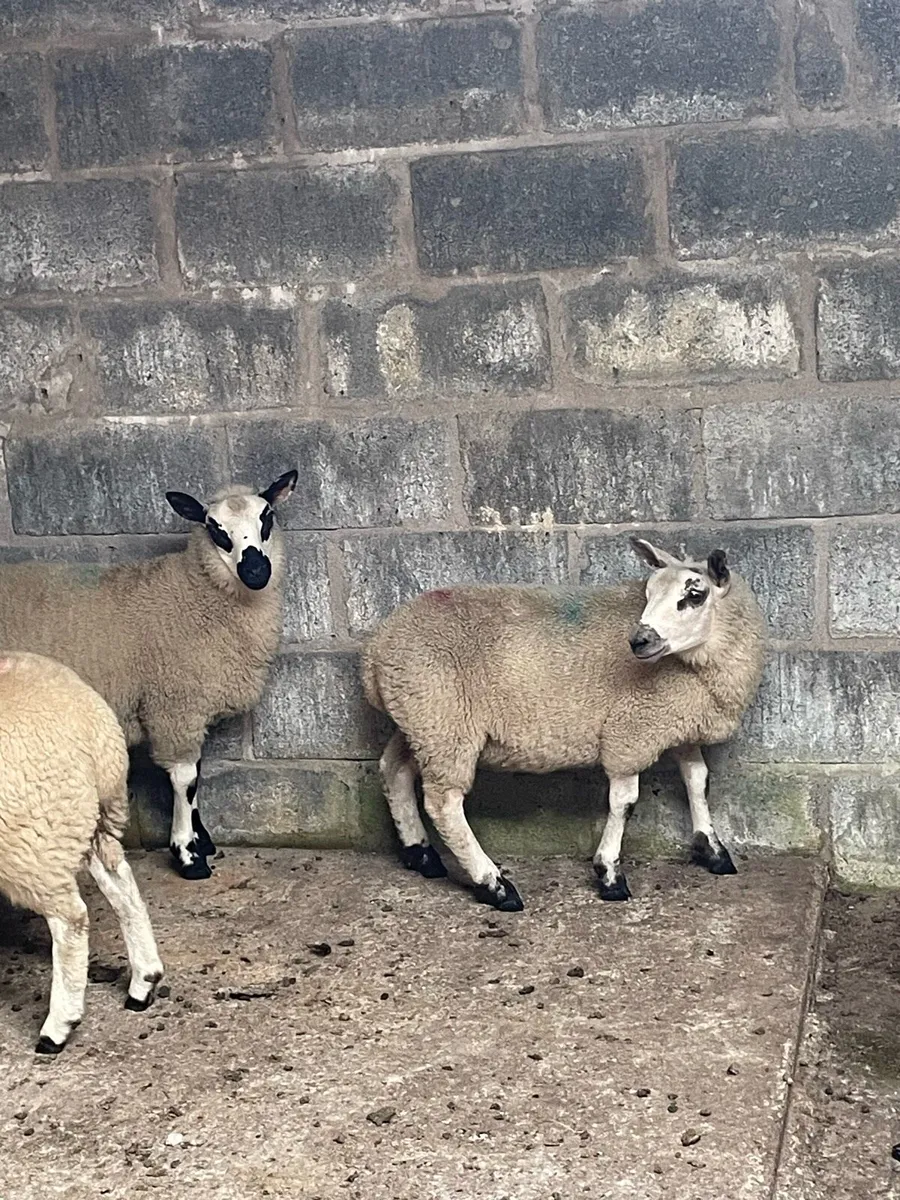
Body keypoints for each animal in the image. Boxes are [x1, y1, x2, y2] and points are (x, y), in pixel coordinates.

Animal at [0, 471, 297, 880]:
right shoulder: (174, 704)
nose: (256, 571)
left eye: (267, 517)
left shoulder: (184, 709)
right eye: (215, 528)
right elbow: (185, 779)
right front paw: (188, 855)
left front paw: (203, 840)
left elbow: (196, 773)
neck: (194, 591)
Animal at [0, 651, 164, 1053]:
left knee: (71, 920)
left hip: (32, 840)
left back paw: (57, 1027)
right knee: (123, 888)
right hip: (84, 823)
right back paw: (144, 981)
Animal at [362, 537, 767, 912]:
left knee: (394, 770)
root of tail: (375, 653)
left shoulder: (679, 721)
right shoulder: (631, 731)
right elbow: (625, 803)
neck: (698, 664)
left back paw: (421, 855)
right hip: (445, 722)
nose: (639, 640)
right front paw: (609, 874)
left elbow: (698, 781)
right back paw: (494, 885)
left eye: (694, 594)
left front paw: (713, 850)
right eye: (648, 593)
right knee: (443, 802)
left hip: (422, 720)